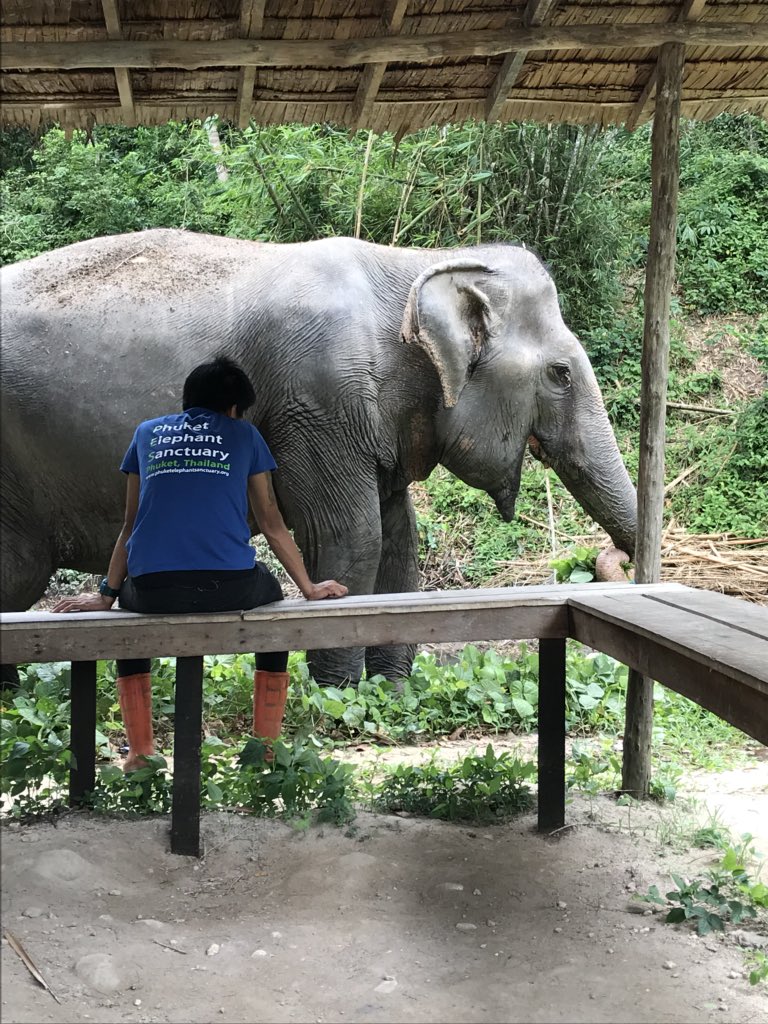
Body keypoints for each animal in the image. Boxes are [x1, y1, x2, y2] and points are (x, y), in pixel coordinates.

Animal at [0, 228, 637, 685]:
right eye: (560, 374)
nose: (618, 561)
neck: (413, 267)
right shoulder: (318, 402)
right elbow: (351, 537)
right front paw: (338, 695)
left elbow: (399, 541)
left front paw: (391, 690)